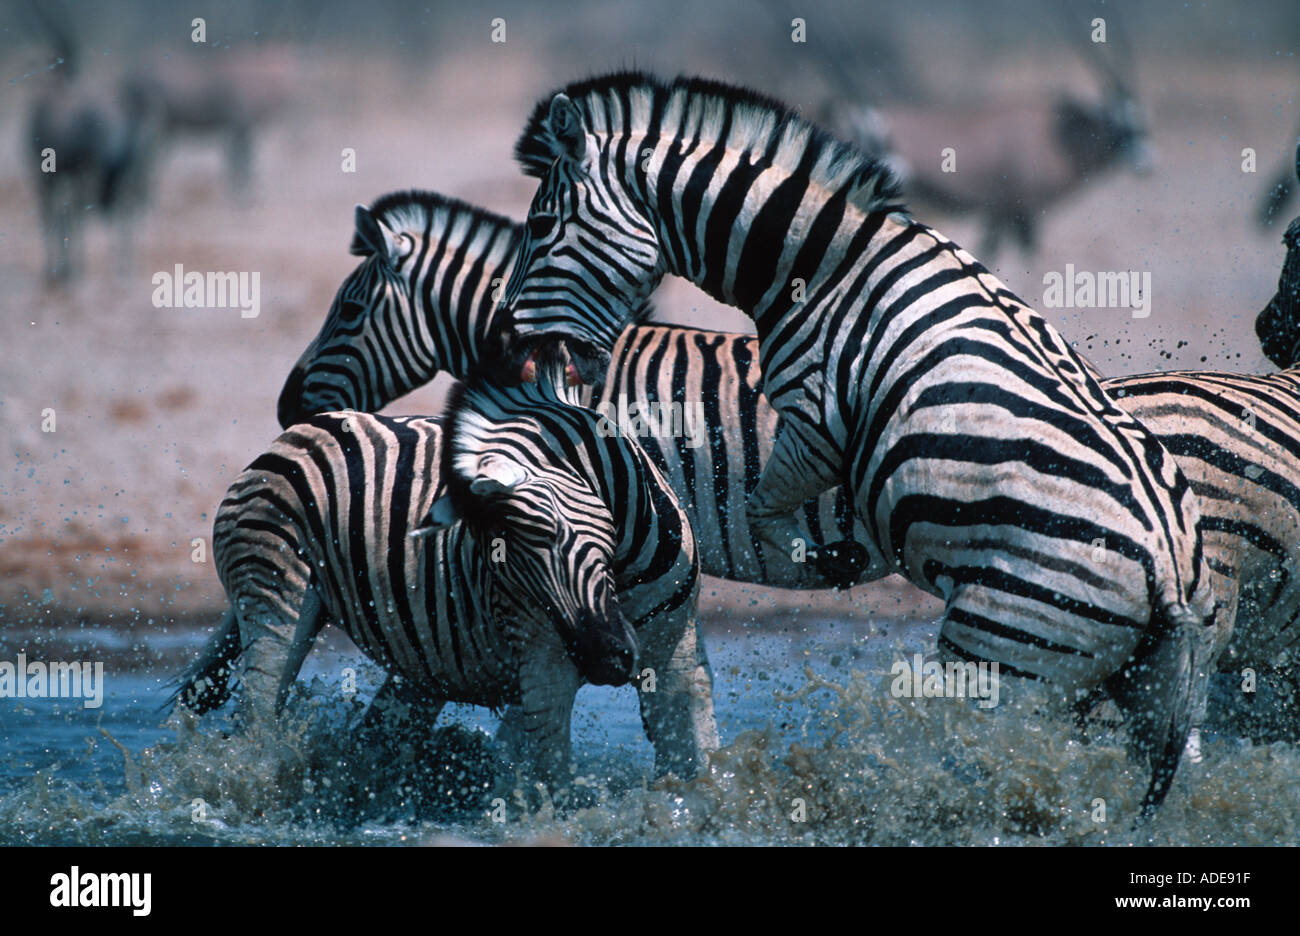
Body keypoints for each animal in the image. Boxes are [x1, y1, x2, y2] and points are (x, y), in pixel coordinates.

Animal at [173, 352, 717, 790]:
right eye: (503, 568)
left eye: (546, 532)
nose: (606, 659)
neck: (624, 571)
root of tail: (297, 433)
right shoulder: (543, 661)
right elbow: (553, 782)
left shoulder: (677, 652)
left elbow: (694, 763)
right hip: (275, 598)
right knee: (257, 727)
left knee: (372, 738)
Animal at [499, 71, 1219, 816]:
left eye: (541, 226)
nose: (513, 339)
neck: (824, 264)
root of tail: (1168, 569)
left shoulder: (813, 417)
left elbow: (762, 506)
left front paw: (830, 555)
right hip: (1148, 688)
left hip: (999, 655)